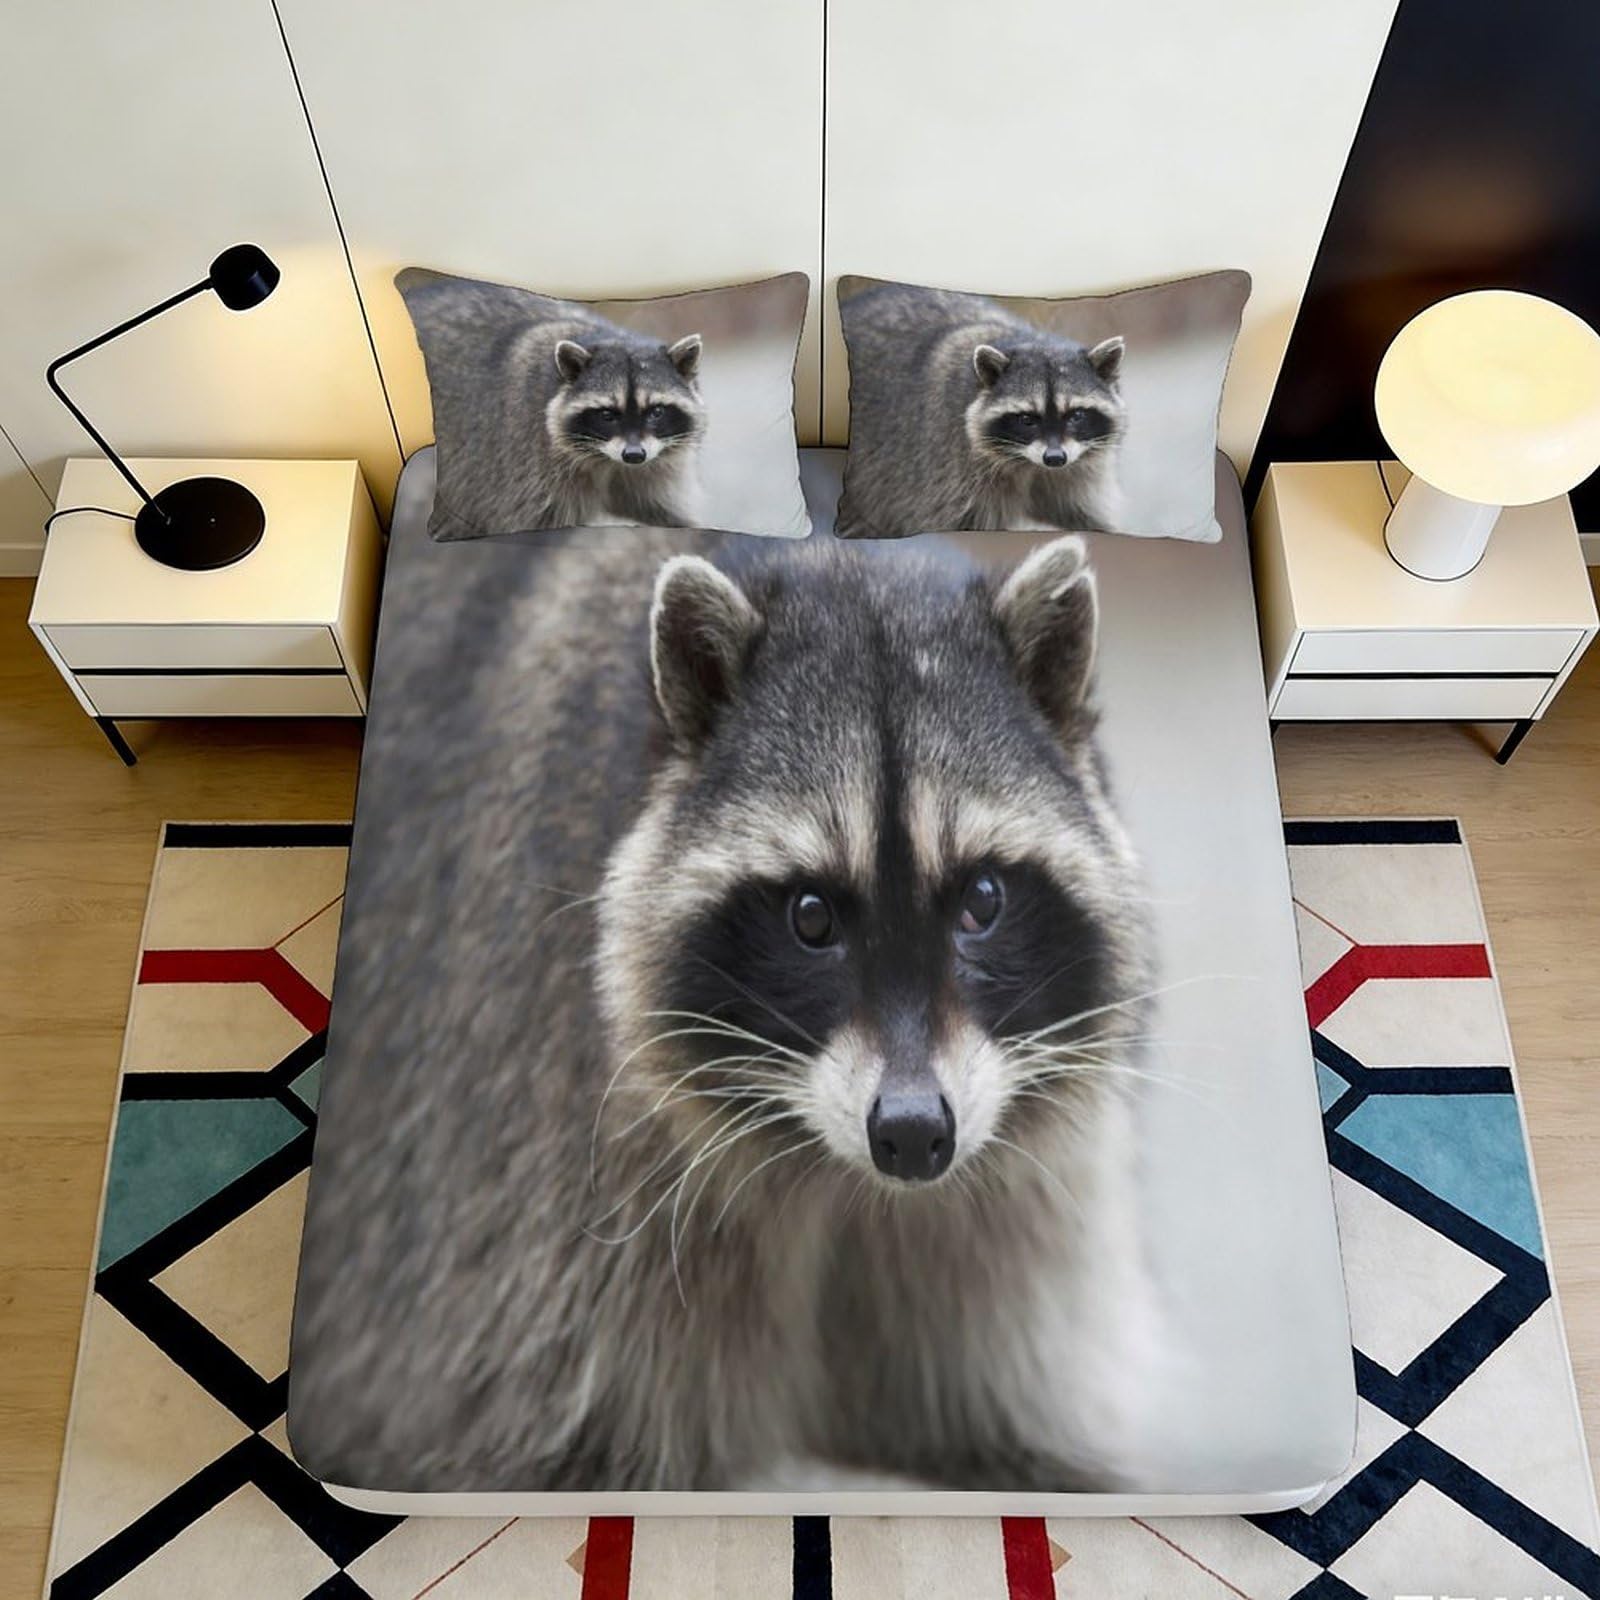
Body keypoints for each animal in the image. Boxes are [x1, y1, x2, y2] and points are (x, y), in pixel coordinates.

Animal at [838, 281, 1127, 539]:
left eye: (1076, 415)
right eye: (1026, 419)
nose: (1055, 458)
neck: (1030, 465)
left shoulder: (1080, 472)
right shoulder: (951, 469)